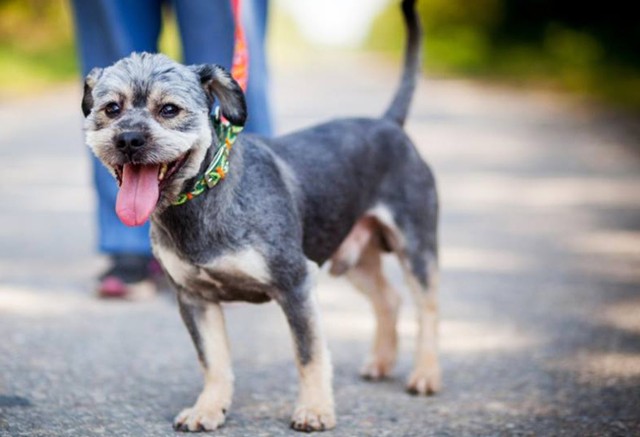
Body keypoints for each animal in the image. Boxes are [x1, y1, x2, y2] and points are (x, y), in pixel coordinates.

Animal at [81, 0, 440, 430]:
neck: (205, 197)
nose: (128, 139)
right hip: (351, 254)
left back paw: (425, 375)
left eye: (169, 109)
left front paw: (315, 410)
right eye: (111, 109)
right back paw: (381, 362)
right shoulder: (195, 299)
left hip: (416, 246)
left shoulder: (296, 282)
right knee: (389, 299)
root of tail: (389, 124)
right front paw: (208, 409)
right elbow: (214, 361)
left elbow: (309, 354)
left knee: (427, 309)